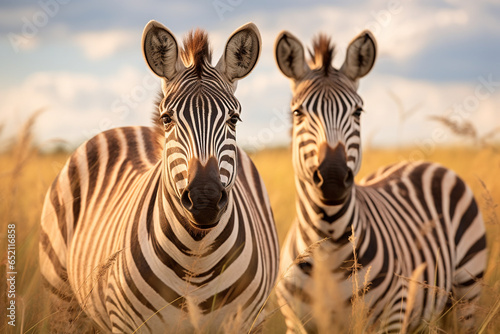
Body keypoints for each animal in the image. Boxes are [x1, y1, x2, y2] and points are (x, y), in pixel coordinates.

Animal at [39, 21, 280, 334]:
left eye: (234, 119)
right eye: (167, 118)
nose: (205, 200)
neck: (197, 260)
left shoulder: (245, 322)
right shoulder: (129, 323)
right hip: (62, 298)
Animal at [274, 30, 488, 332]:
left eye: (358, 112)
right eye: (297, 113)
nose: (332, 178)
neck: (327, 243)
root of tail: (421, 162)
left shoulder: (391, 316)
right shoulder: (296, 322)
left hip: (466, 289)